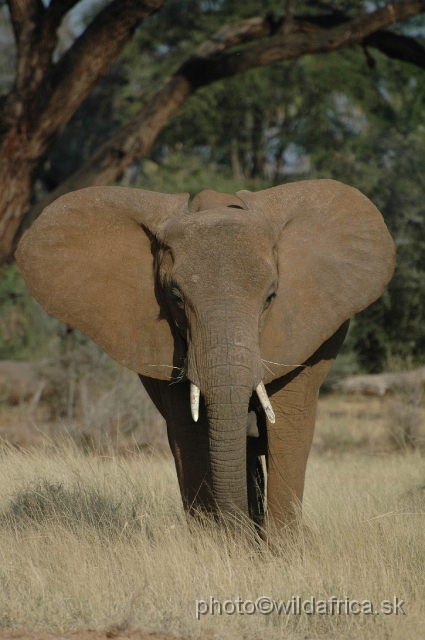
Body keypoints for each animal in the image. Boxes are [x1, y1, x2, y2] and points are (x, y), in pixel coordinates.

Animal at [15, 179, 394, 528]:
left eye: (271, 296)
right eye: (175, 297)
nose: (244, 531)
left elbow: (287, 431)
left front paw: (279, 548)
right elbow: (190, 434)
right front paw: (221, 544)